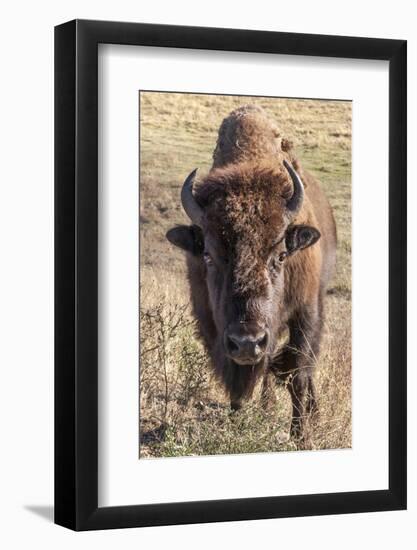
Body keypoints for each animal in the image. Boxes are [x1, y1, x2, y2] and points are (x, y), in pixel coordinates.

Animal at [166, 105, 334, 446]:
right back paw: (267, 408)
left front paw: (300, 436)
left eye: (281, 255)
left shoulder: (306, 313)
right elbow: (238, 383)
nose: (246, 342)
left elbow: (299, 374)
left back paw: (312, 414)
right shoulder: (212, 324)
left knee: (303, 370)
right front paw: (237, 423)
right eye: (208, 256)